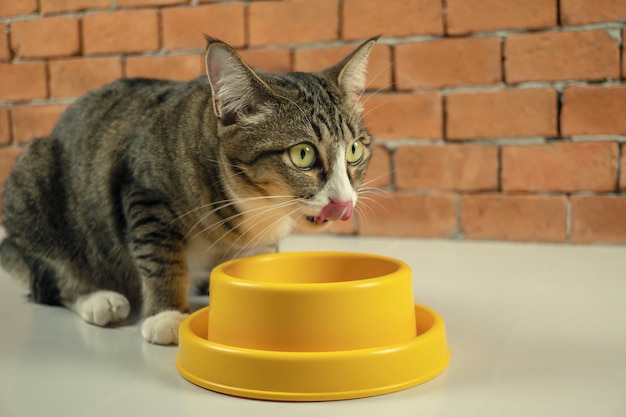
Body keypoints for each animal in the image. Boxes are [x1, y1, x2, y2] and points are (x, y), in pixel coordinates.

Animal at [0, 35, 376, 342]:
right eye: (303, 154)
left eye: (354, 151)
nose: (344, 201)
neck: (253, 204)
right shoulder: (145, 193)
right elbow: (159, 257)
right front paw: (167, 314)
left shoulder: (261, 240)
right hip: (34, 183)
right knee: (50, 281)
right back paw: (98, 298)